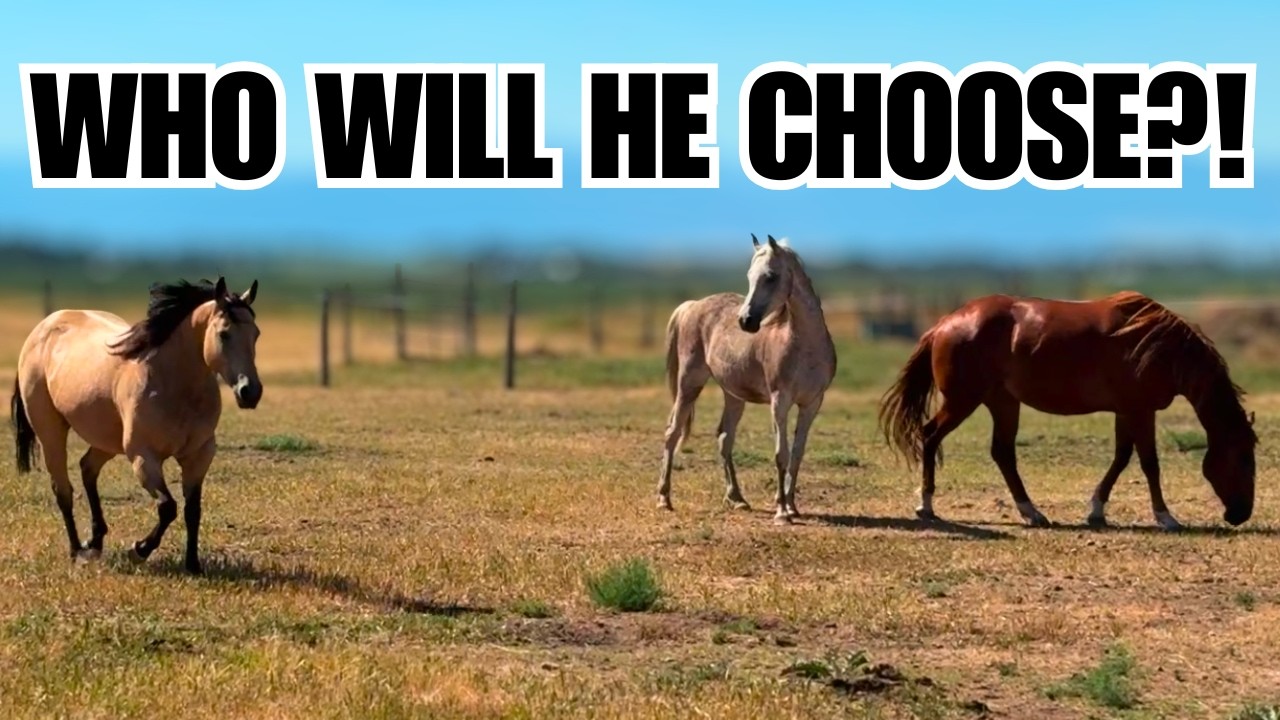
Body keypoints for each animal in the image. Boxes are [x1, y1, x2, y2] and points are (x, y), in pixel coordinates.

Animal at [10, 277, 262, 574]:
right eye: (224, 334)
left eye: (256, 334)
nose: (250, 392)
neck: (171, 382)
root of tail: (45, 326)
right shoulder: (144, 457)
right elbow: (168, 507)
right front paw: (139, 550)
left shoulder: (198, 456)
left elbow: (192, 510)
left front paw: (193, 564)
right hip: (50, 432)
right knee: (63, 490)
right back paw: (77, 551)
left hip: (107, 440)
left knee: (87, 468)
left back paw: (95, 542)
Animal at [657, 235, 837, 522]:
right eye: (749, 276)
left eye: (771, 276)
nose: (746, 321)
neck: (804, 346)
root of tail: (692, 305)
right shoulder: (779, 401)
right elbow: (781, 454)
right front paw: (781, 512)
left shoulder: (811, 404)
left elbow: (797, 454)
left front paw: (792, 506)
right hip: (689, 383)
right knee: (673, 432)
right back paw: (664, 498)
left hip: (733, 395)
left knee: (724, 437)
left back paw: (737, 499)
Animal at [879, 291, 1256, 530]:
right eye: (1243, 458)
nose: (1241, 514)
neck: (1156, 345)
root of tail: (944, 323)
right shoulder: (1141, 410)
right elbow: (1149, 463)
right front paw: (1165, 517)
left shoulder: (1126, 411)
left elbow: (1121, 458)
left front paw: (1097, 511)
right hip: (963, 401)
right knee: (931, 435)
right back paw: (926, 505)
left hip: (1003, 402)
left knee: (1002, 453)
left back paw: (1031, 512)